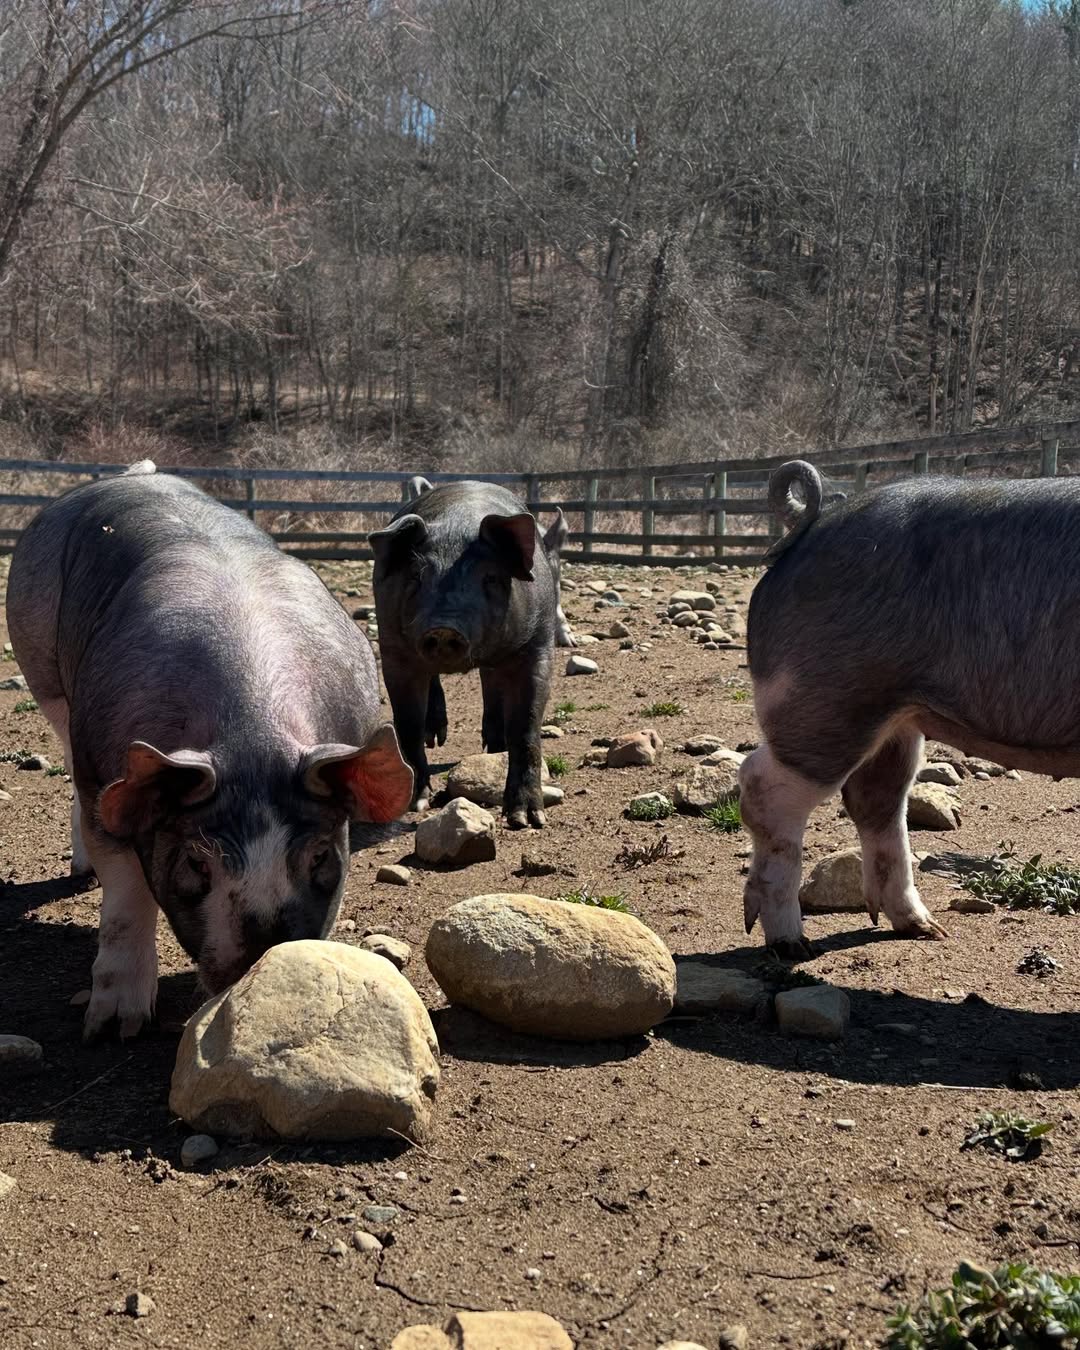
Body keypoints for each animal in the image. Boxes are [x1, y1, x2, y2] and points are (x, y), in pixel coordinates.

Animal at [6, 463, 413, 1038]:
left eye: (319, 856)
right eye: (198, 863)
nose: (262, 961)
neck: (250, 739)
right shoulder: (104, 773)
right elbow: (126, 896)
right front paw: (114, 1028)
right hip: (45, 672)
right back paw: (80, 874)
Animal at [372, 480, 561, 828]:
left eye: (490, 577)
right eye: (416, 577)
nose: (444, 627)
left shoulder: (538, 644)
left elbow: (525, 726)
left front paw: (527, 819)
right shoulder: (392, 648)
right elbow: (407, 721)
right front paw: (416, 803)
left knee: (491, 683)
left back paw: (494, 748)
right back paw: (438, 738)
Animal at [739, 458, 1080, 958]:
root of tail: (815, 523)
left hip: (896, 717)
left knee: (878, 798)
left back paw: (925, 928)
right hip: (828, 694)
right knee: (766, 788)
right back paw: (791, 945)